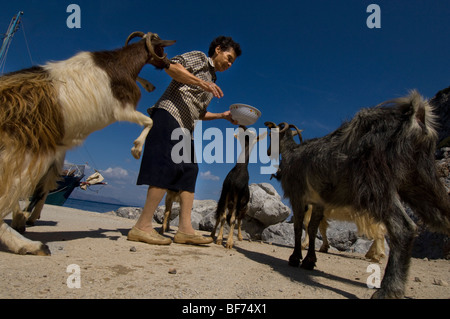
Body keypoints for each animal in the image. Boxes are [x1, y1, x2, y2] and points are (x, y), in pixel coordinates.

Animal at [0, 31, 176, 256]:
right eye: (162, 48)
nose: (169, 63)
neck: (120, 64)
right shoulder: (122, 109)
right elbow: (149, 121)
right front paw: (136, 149)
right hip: (23, 156)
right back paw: (30, 243)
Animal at [266, 90, 450, 300]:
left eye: (271, 135)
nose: (268, 151)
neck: (291, 153)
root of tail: (416, 117)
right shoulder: (319, 202)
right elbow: (312, 229)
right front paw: (310, 260)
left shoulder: (298, 197)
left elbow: (298, 227)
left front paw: (295, 257)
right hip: (421, 179)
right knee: (444, 216)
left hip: (376, 183)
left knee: (403, 228)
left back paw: (388, 289)